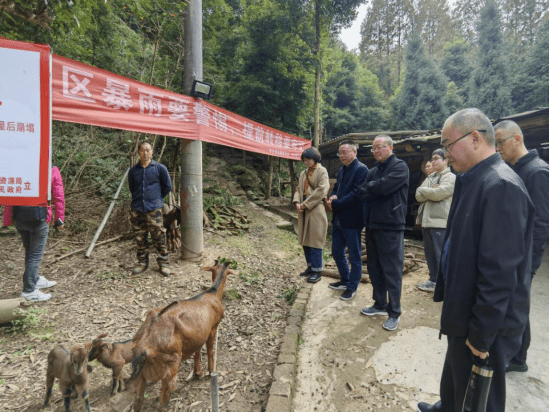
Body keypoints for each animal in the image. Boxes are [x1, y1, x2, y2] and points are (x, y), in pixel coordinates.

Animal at [132, 260, 235, 412]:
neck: (213, 293)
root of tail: (143, 347)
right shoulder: (212, 329)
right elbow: (210, 351)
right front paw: (211, 371)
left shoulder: (198, 333)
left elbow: (197, 351)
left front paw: (198, 373)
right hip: (170, 365)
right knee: (165, 396)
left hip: (142, 374)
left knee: (138, 399)